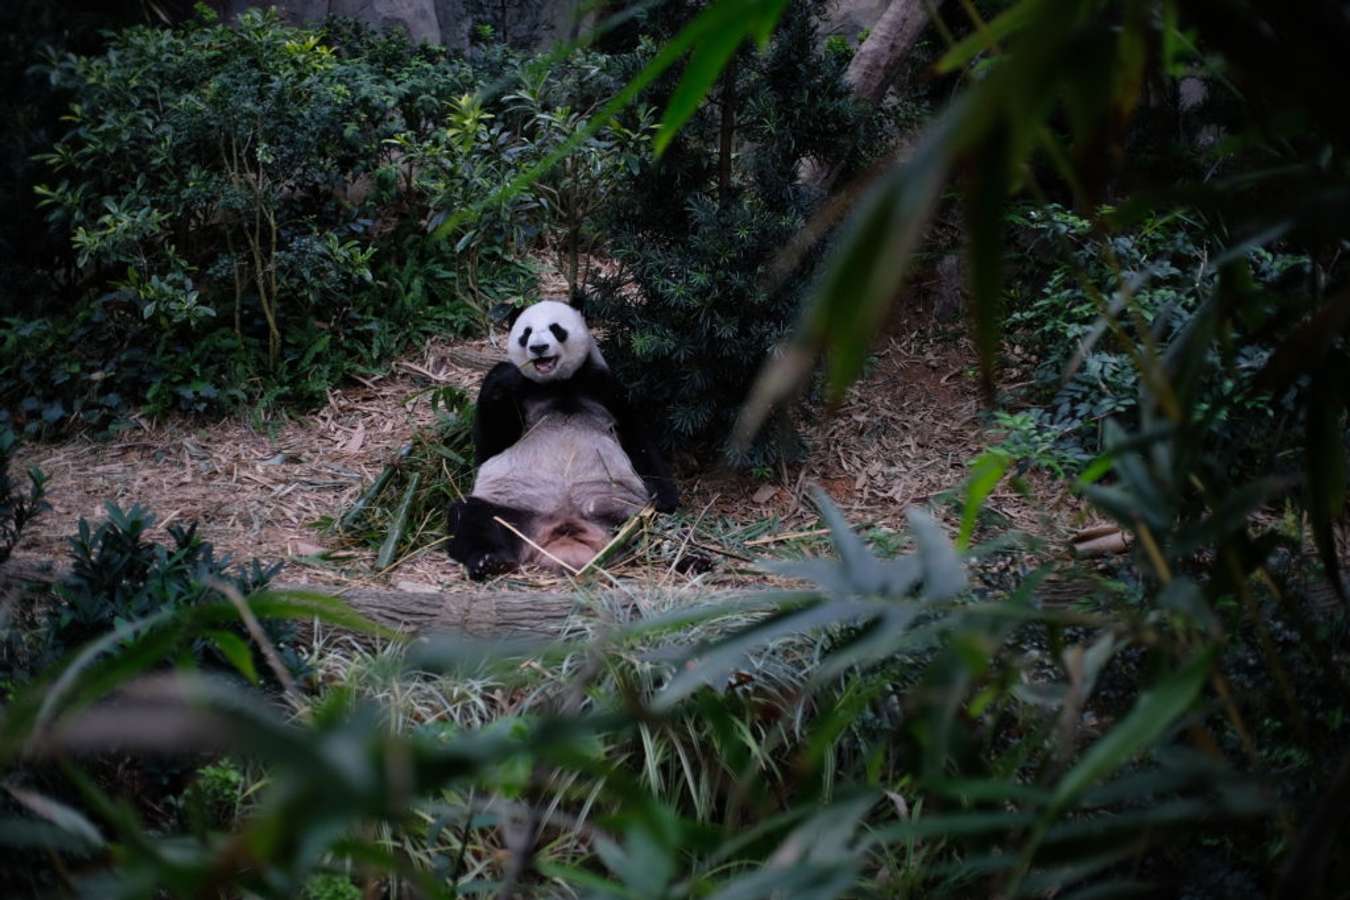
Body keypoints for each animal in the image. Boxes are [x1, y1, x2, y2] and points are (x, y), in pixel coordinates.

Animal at [445, 299, 680, 580]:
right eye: (526, 333)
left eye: (556, 329)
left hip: (621, 510)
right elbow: (489, 446)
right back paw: (488, 561)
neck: (557, 384)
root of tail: (563, 528)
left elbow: (638, 438)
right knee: (470, 516)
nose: (538, 348)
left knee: (648, 527)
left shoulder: (605, 388)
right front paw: (503, 375)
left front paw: (666, 498)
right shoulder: (521, 394)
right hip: (512, 507)